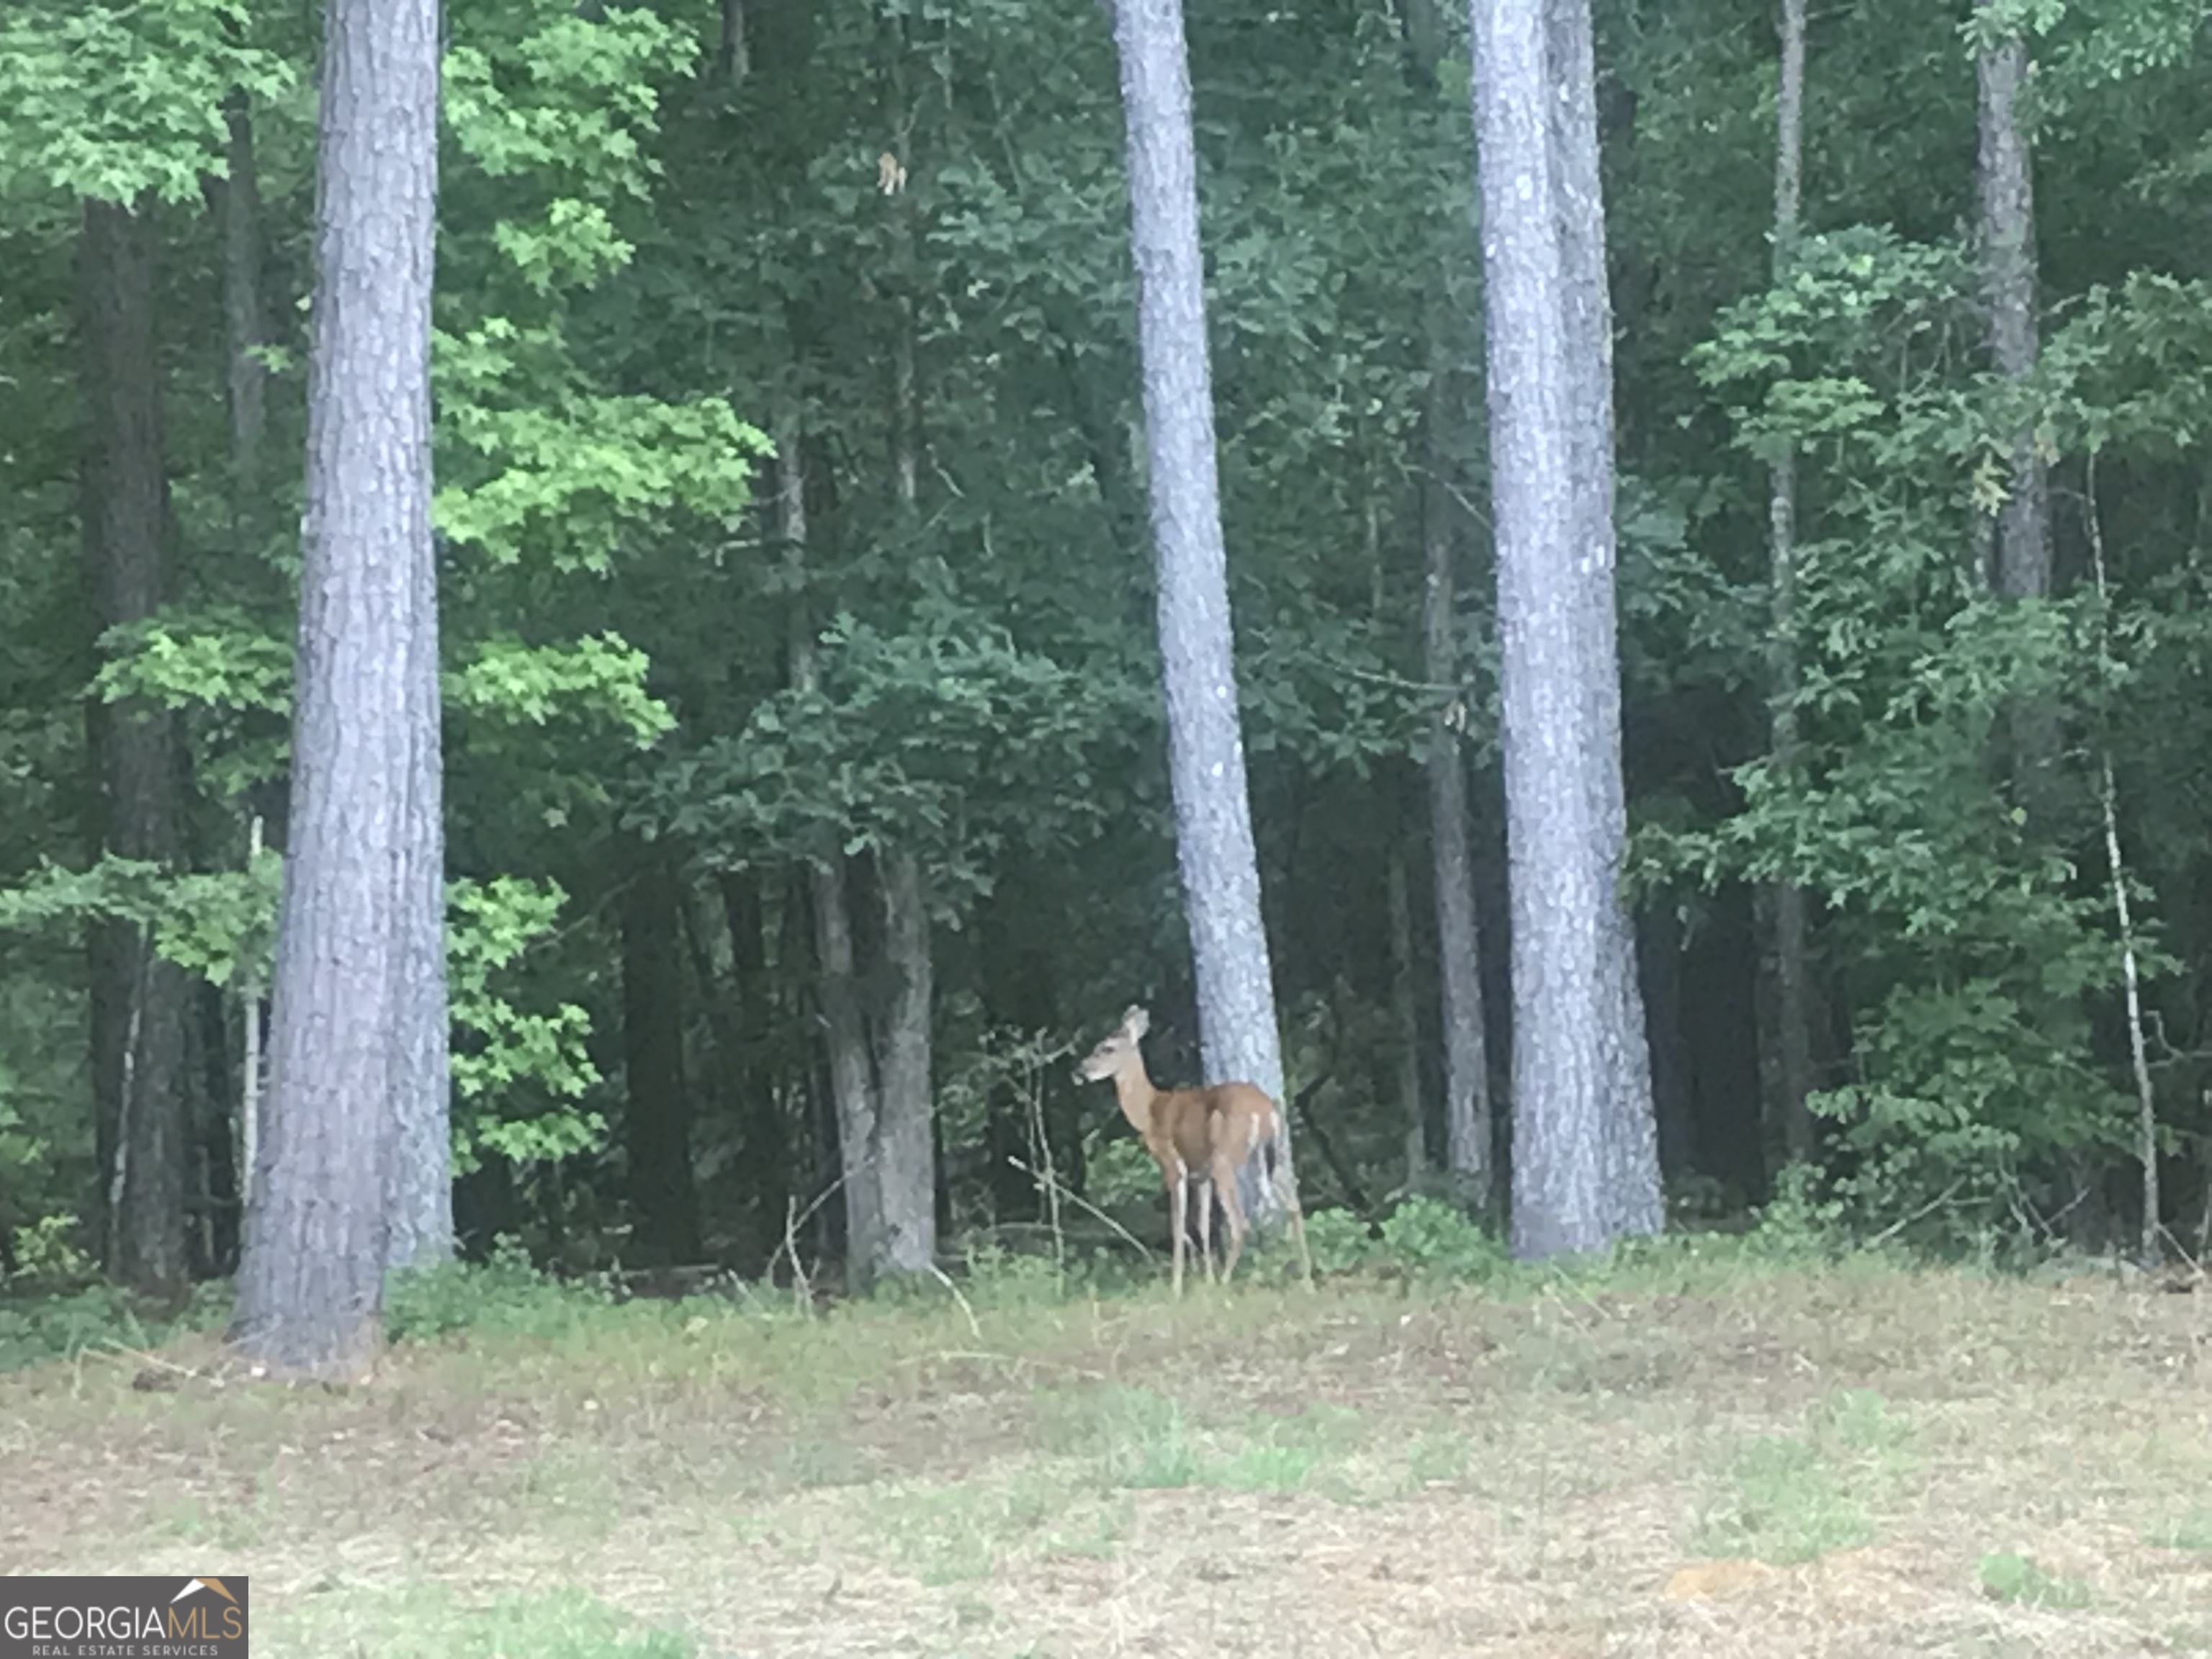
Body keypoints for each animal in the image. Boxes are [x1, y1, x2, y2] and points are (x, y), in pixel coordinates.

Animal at [1074, 1008, 1300, 1292]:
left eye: (1107, 1048)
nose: (1079, 1071)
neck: (1149, 1112)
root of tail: (1266, 1110)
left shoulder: (1173, 1164)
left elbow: (1177, 1223)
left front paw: (1178, 1285)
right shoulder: (1200, 1174)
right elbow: (1202, 1225)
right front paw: (1207, 1280)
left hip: (1225, 1157)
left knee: (1241, 1223)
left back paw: (1227, 1281)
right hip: (1269, 1156)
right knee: (1293, 1206)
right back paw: (1305, 1279)